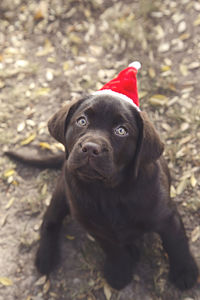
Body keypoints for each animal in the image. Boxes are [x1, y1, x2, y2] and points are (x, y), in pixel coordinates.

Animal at [5, 94, 198, 290]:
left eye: (121, 131)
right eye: (82, 121)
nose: (91, 147)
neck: (110, 191)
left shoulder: (167, 217)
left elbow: (176, 243)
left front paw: (184, 272)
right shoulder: (95, 226)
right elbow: (112, 248)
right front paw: (118, 272)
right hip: (63, 191)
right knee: (50, 219)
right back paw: (45, 256)